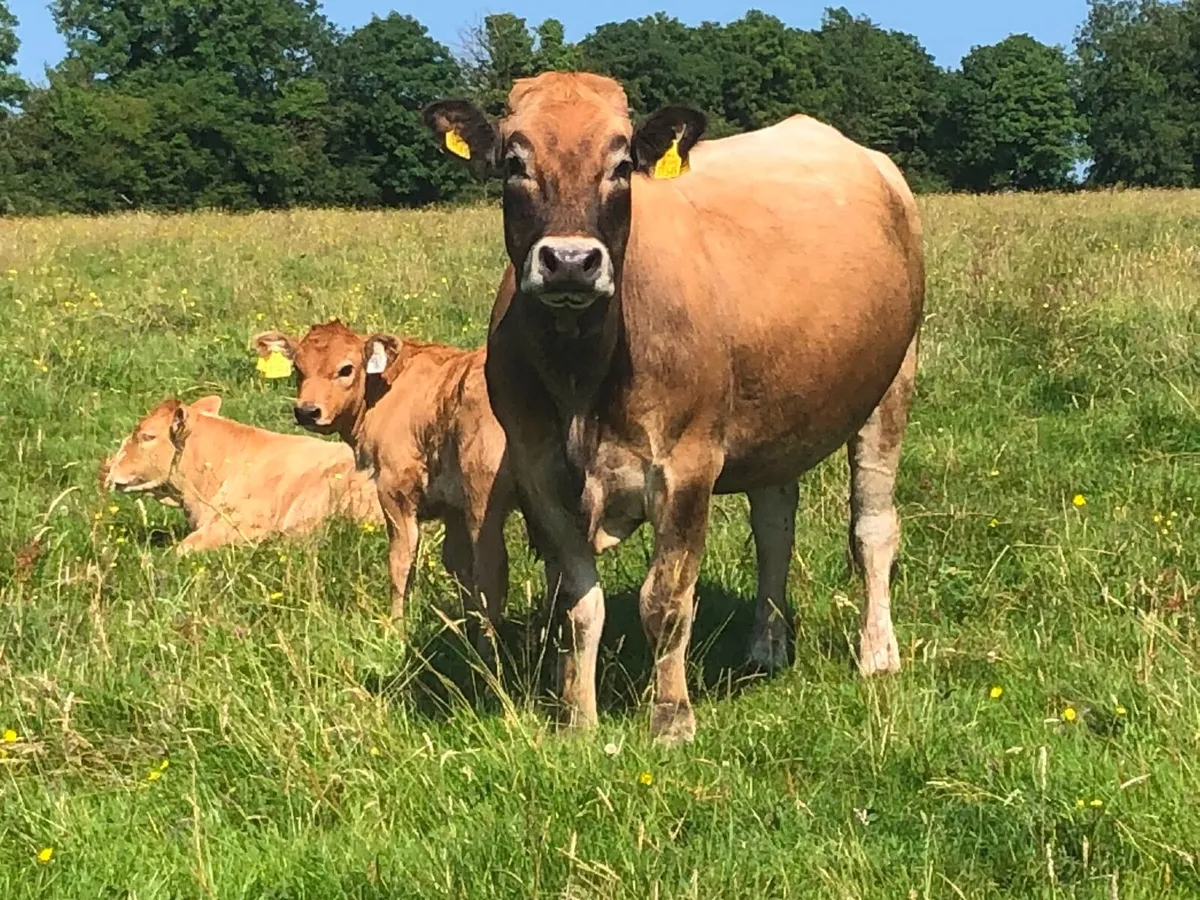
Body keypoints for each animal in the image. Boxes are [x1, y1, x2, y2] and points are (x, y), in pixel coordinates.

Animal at [251, 321, 515, 651]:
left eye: (346, 369)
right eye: (298, 368)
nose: (307, 411)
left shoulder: (395, 490)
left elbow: (400, 562)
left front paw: (395, 630)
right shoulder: (454, 503)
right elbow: (458, 566)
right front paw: (461, 628)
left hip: (483, 499)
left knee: (492, 570)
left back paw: (487, 650)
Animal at [422, 72, 925, 744]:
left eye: (621, 163)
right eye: (513, 162)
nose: (570, 262)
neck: (583, 378)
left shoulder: (686, 468)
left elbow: (665, 601)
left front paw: (671, 719)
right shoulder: (540, 474)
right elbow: (578, 607)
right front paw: (577, 718)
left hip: (893, 383)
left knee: (872, 526)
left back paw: (876, 652)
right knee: (775, 527)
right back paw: (767, 644)